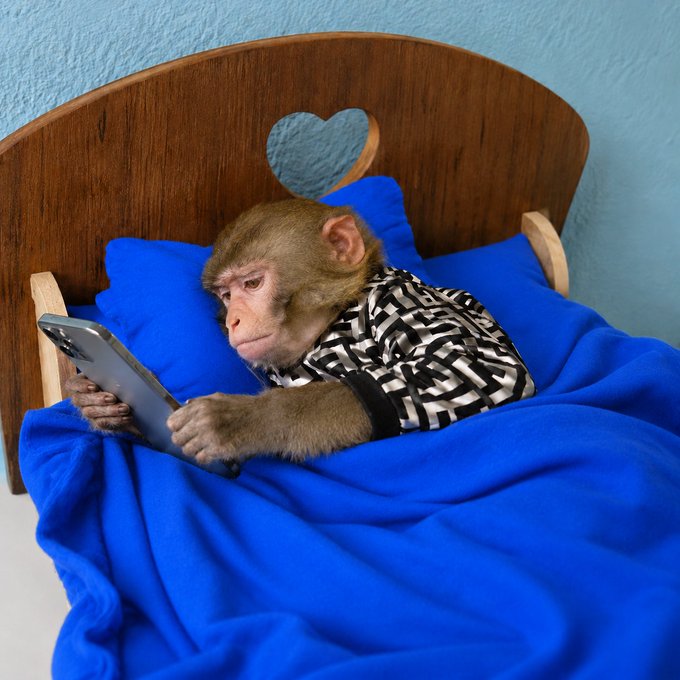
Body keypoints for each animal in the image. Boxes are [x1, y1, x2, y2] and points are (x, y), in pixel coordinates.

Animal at [67, 198, 536, 470]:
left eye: (253, 284)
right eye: (226, 294)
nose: (233, 320)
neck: (331, 323)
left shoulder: (397, 299)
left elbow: (476, 363)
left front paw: (245, 420)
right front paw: (97, 403)